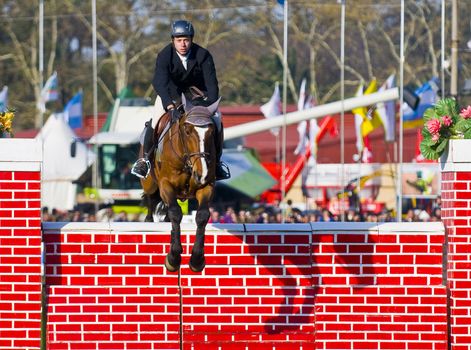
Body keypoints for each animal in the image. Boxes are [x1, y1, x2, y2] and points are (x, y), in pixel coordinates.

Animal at [139, 95, 220, 274]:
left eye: (212, 132)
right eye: (187, 131)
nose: (201, 174)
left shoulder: (206, 186)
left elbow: (202, 215)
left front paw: (197, 260)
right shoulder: (165, 184)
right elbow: (176, 213)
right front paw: (173, 258)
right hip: (150, 183)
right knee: (150, 200)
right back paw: (149, 222)